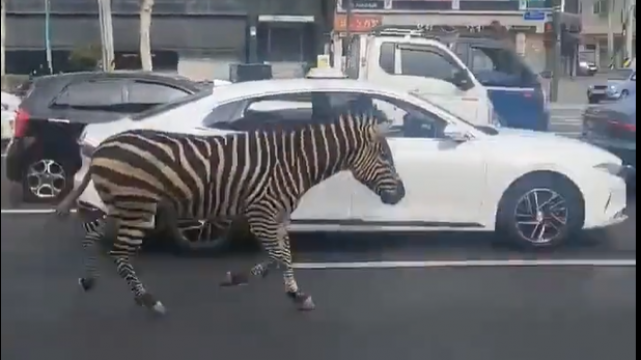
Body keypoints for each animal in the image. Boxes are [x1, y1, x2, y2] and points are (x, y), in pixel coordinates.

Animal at [56, 111, 404, 314]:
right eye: (385, 157)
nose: (401, 194)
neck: (296, 163)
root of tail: (103, 147)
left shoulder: (279, 216)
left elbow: (284, 255)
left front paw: (295, 293)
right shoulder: (261, 212)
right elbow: (277, 256)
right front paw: (237, 278)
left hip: (124, 204)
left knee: (92, 232)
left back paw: (88, 279)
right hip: (137, 206)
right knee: (119, 253)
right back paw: (147, 299)